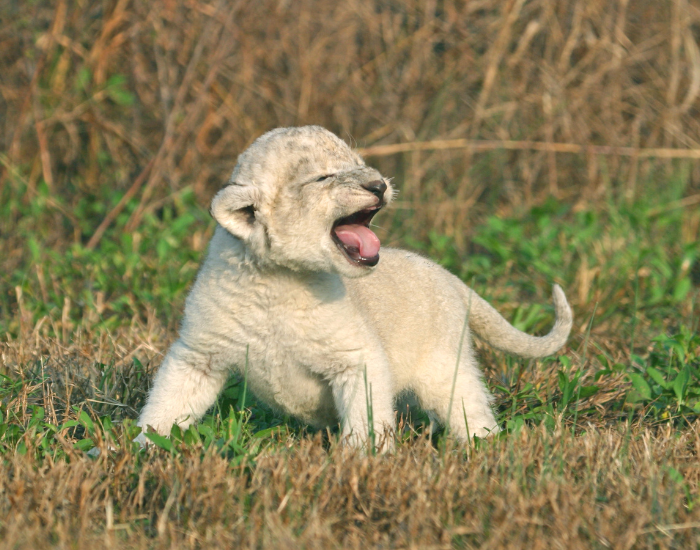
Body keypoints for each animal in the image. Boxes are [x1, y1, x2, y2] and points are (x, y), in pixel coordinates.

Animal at [136, 126, 573, 448]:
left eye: (359, 164)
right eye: (323, 177)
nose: (379, 185)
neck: (277, 281)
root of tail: (448, 275)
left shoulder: (357, 357)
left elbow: (365, 415)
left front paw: (364, 459)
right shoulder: (199, 355)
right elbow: (167, 405)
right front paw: (143, 448)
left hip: (443, 369)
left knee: (472, 410)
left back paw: (483, 448)